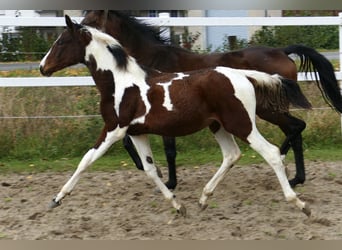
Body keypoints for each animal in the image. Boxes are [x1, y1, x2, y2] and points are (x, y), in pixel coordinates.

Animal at [40, 15, 312, 216]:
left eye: (61, 42)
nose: (43, 67)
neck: (121, 83)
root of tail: (244, 75)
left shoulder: (114, 128)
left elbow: (86, 160)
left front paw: (57, 198)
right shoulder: (136, 133)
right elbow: (150, 169)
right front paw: (178, 205)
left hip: (242, 124)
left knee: (273, 152)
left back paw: (299, 202)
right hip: (218, 126)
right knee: (232, 155)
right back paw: (203, 198)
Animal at [82, 10, 342, 189]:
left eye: (91, 20)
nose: (78, 31)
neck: (150, 63)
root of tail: (283, 52)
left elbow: (167, 150)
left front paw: (168, 182)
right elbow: (130, 142)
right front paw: (156, 173)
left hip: (269, 110)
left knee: (297, 127)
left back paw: (285, 164)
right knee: (296, 130)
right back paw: (296, 178)